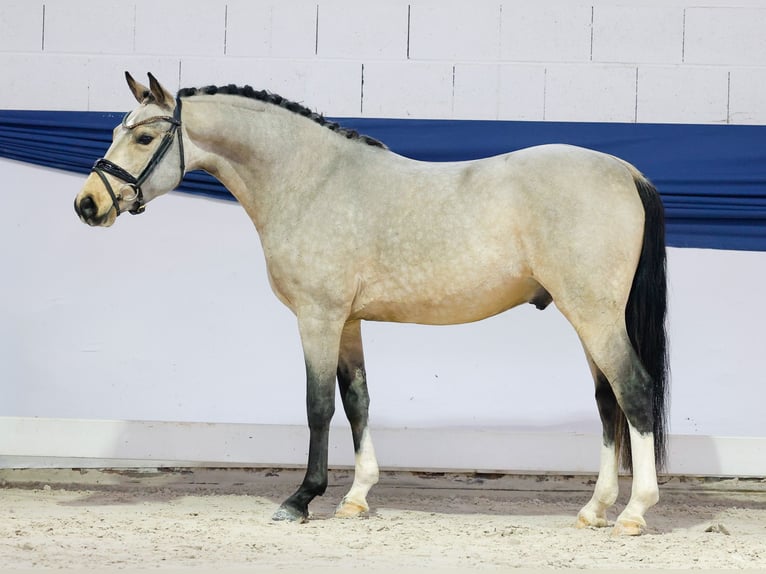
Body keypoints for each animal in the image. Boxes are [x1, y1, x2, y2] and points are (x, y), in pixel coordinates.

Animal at [74, 72, 669, 536]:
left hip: (594, 315)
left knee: (634, 393)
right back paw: (595, 509)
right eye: (116, 130)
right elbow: (357, 400)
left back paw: (635, 512)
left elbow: (318, 406)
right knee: (608, 403)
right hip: (589, 318)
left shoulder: (317, 317)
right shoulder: (348, 322)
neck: (311, 181)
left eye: (144, 136)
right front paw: (356, 497)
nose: (88, 204)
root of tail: (625, 171)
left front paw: (301, 499)